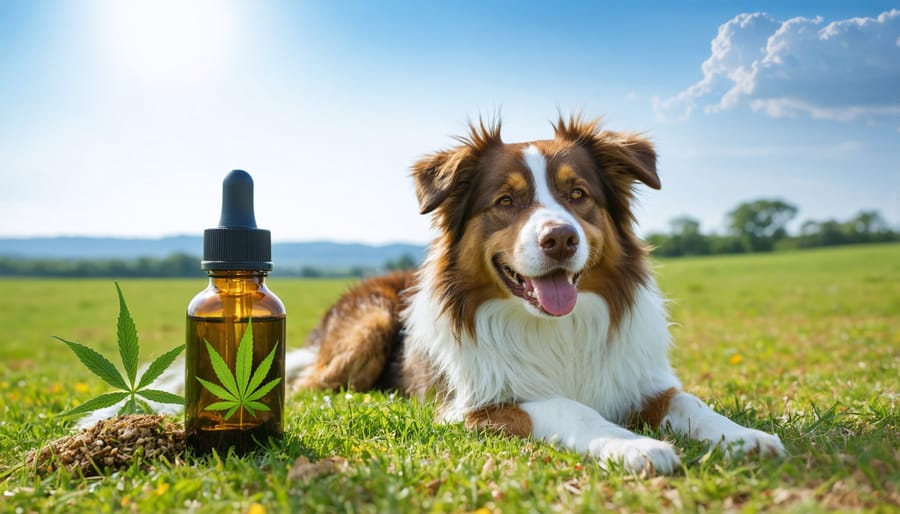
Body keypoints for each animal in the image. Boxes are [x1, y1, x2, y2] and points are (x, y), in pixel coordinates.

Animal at [292, 115, 784, 472]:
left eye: (577, 193)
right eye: (506, 201)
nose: (560, 239)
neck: (558, 329)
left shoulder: (639, 381)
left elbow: (691, 402)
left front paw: (746, 436)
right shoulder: (475, 408)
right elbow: (571, 408)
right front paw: (636, 446)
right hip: (370, 325)